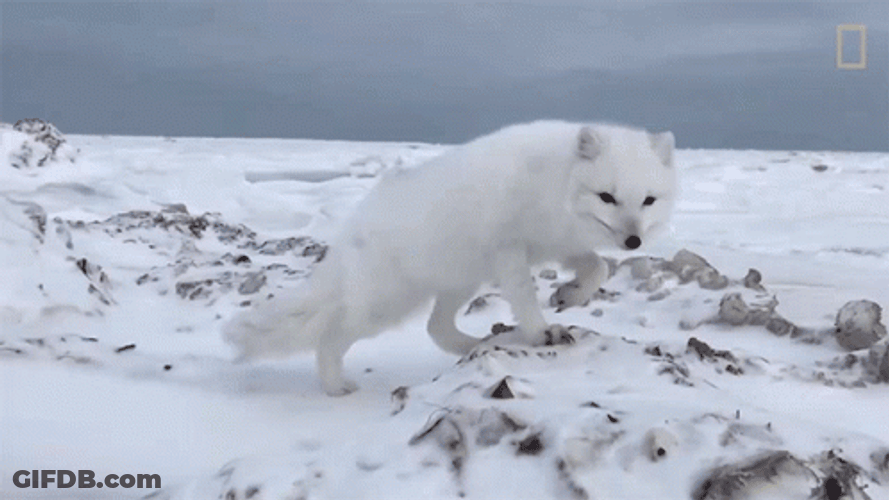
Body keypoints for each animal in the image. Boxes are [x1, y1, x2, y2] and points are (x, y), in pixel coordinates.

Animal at [224, 120, 677, 395]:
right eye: (607, 197)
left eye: (648, 200)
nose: (634, 240)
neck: (553, 184)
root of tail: (353, 228)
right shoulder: (509, 250)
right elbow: (524, 295)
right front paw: (540, 332)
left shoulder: (560, 243)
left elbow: (597, 267)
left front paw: (569, 296)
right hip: (386, 304)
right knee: (332, 337)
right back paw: (336, 386)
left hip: (460, 280)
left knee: (435, 328)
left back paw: (480, 343)